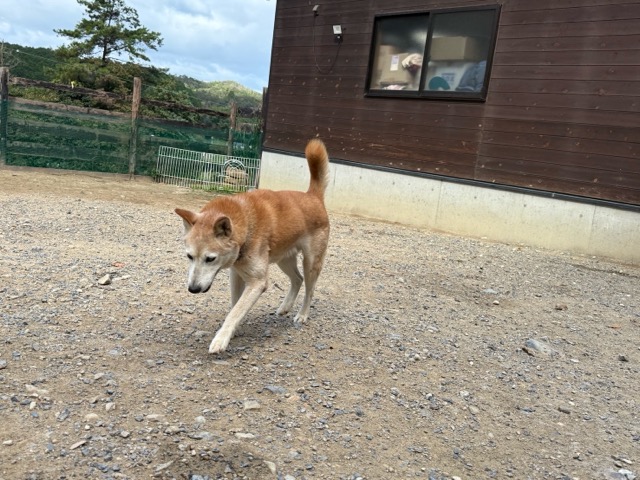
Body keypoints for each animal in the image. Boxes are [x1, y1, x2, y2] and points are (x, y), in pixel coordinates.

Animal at [175, 138, 330, 354]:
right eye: (189, 256)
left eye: (210, 259)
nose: (193, 289)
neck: (247, 224)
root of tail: (312, 196)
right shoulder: (236, 273)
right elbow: (234, 306)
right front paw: (233, 331)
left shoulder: (257, 282)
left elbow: (236, 310)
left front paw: (221, 339)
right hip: (284, 260)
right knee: (297, 279)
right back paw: (285, 307)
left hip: (311, 262)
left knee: (309, 289)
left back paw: (302, 315)